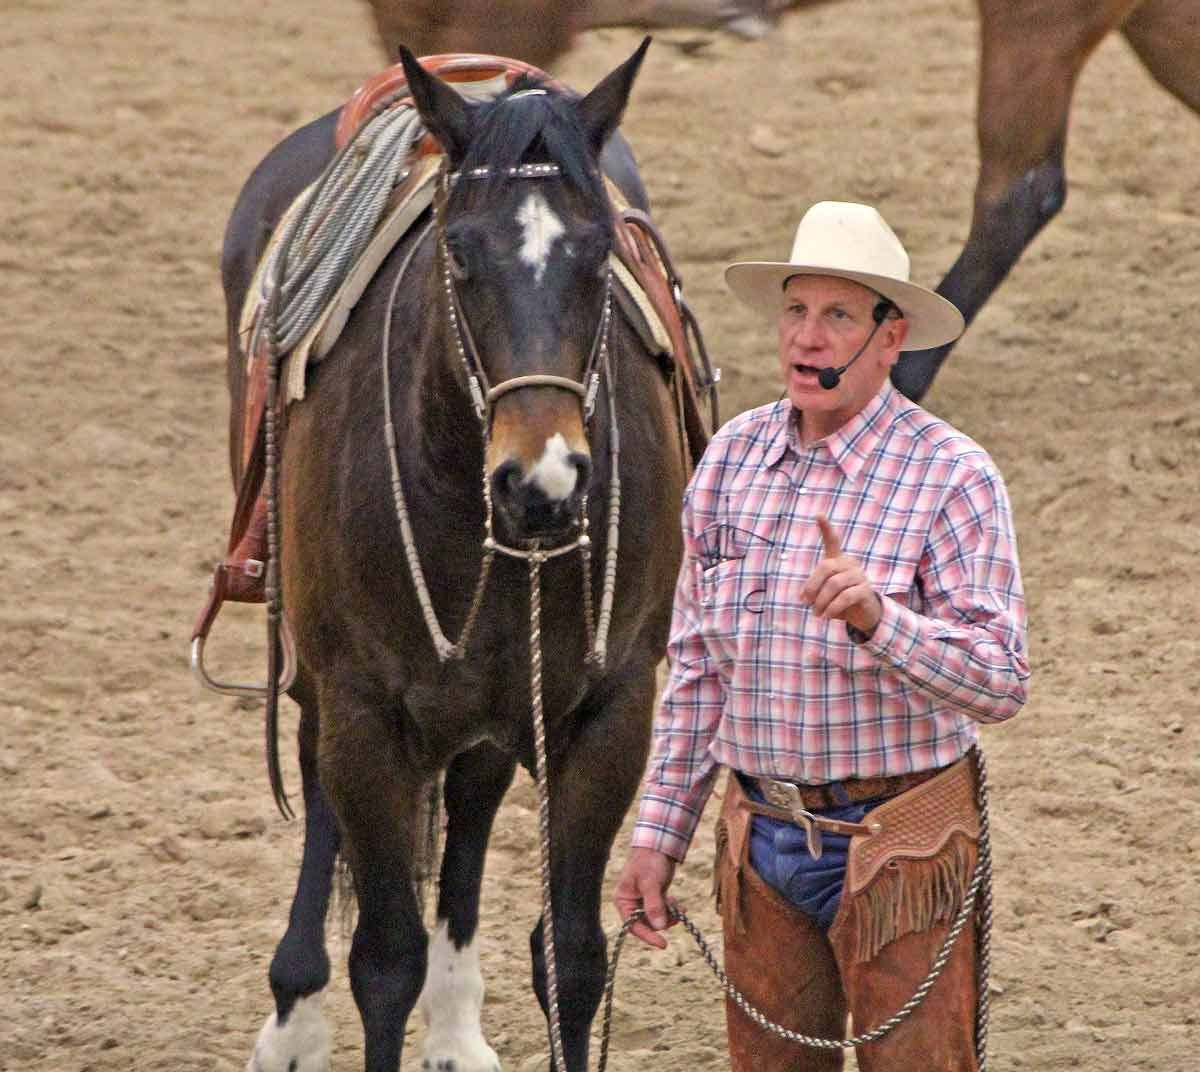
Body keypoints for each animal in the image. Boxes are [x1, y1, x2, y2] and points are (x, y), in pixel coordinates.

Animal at [222, 39, 696, 1070]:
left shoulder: (609, 712)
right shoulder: (363, 712)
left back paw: (456, 1022)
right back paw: (293, 1016)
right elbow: (382, 959)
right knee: (319, 792)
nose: (544, 480)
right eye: (460, 253)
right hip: (323, 677)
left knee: (473, 799)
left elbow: (572, 956)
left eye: (600, 252)